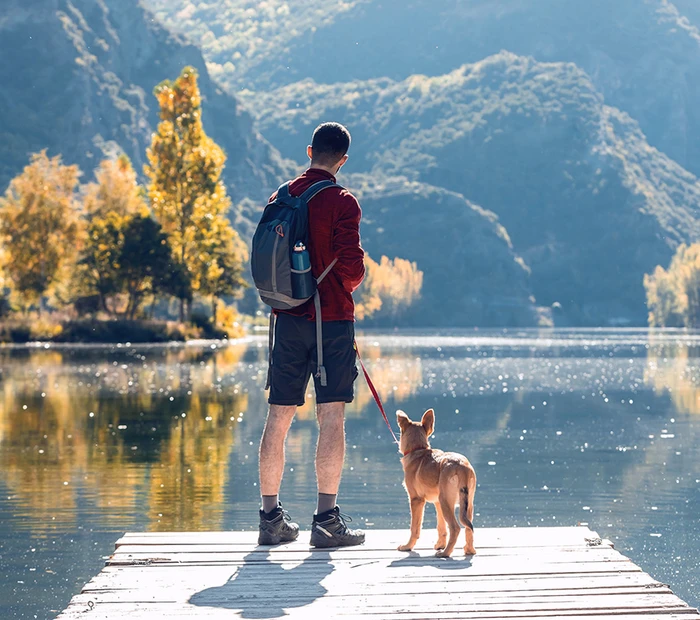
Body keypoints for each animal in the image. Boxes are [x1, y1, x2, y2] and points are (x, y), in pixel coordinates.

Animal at [400, 406, 476, 556]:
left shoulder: (416, 500)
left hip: (446, 502)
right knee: (468, 528)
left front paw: (408, 546)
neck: (418, 449)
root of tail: (461, 465)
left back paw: (445, 553)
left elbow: (415, 528)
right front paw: (440, 544)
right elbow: (441, 527)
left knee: (455, 528)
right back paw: (469, 550)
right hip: (466, 504)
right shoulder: (437, 502)